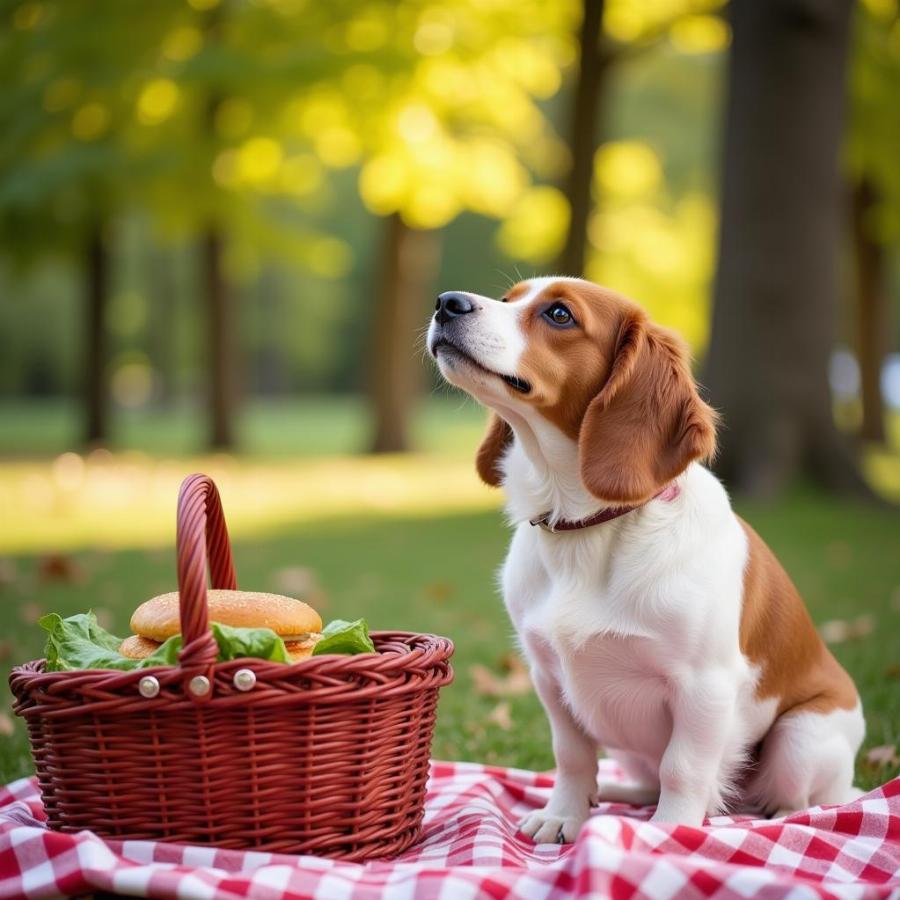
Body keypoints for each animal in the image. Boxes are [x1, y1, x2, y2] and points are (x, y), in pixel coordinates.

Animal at [428, 276, 864, 844]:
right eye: (508, 298)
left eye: (560, 315)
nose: (446, 303)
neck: (590, 528)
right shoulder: (548, 677)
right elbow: (571, 756)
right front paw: (564, 814)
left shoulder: (704, 686)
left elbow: (684, 767)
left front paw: (671, 833)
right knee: (642, 778)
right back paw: (614, 792)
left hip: (801, 736)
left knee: (792, 800)